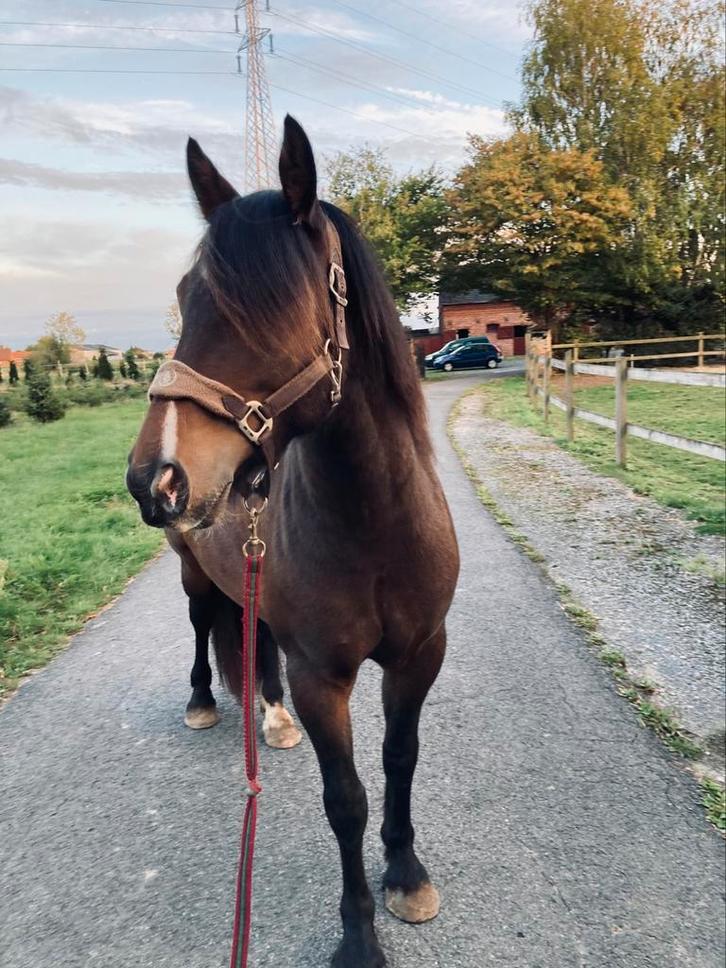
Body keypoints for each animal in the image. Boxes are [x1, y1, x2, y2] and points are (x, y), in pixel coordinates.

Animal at [126, 115, 459, 968]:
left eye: (272, 306)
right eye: (185, 298)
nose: (154, 480)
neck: (375, 527)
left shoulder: (420, 654)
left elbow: (401, 760)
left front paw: (407, 874)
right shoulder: (323, 678)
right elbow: (345, 799)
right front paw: (358, 933)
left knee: (256, 642)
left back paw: (270, 719)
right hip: (193, 579)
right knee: (205, 635)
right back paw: (204, 704)